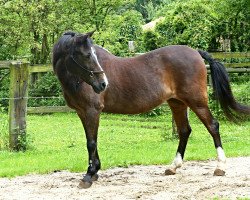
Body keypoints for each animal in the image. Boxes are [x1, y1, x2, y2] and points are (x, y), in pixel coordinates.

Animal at [51, 30, 249, 188]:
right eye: (86, 55)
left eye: (92, 54)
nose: (103, 83)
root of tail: (196, 52)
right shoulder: (83, 112)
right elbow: (91, 141)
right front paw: (94, 171)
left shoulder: (92, 111)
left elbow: (91, 142)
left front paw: (89, 175)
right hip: (177, 103)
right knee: (184, 131)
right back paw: (173, 167)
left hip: (196, 101)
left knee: (213, 126)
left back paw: (220, 167)